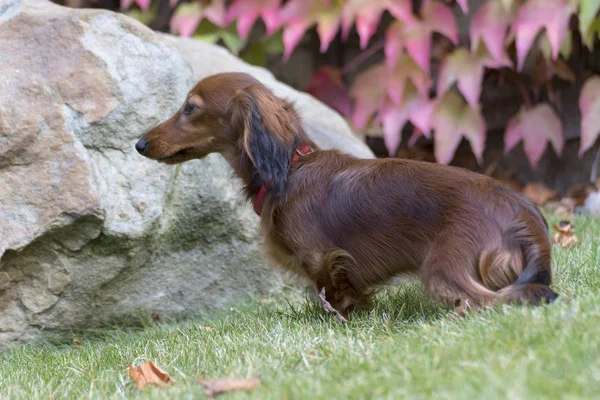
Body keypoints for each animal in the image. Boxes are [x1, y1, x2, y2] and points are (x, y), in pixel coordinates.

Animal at [136, 72, 556, 322]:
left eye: (190, 107)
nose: (139, 144)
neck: (291, 169)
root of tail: (523, 214)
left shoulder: (322, 259)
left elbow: (332, 295)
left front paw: (337, 319)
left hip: (443, 266)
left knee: (491, 301)